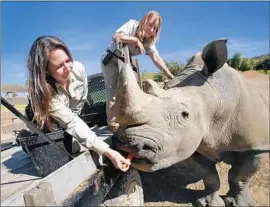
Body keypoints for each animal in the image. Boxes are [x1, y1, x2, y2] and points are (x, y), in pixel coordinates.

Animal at [110, 39, 268, 206]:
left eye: (184, 115)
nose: (128, 145)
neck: (216, 98)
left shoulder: (256, 146)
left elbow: (239, 177)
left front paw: (240, 203)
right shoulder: (195, 140)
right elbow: (209, 175)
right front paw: (208, 203)